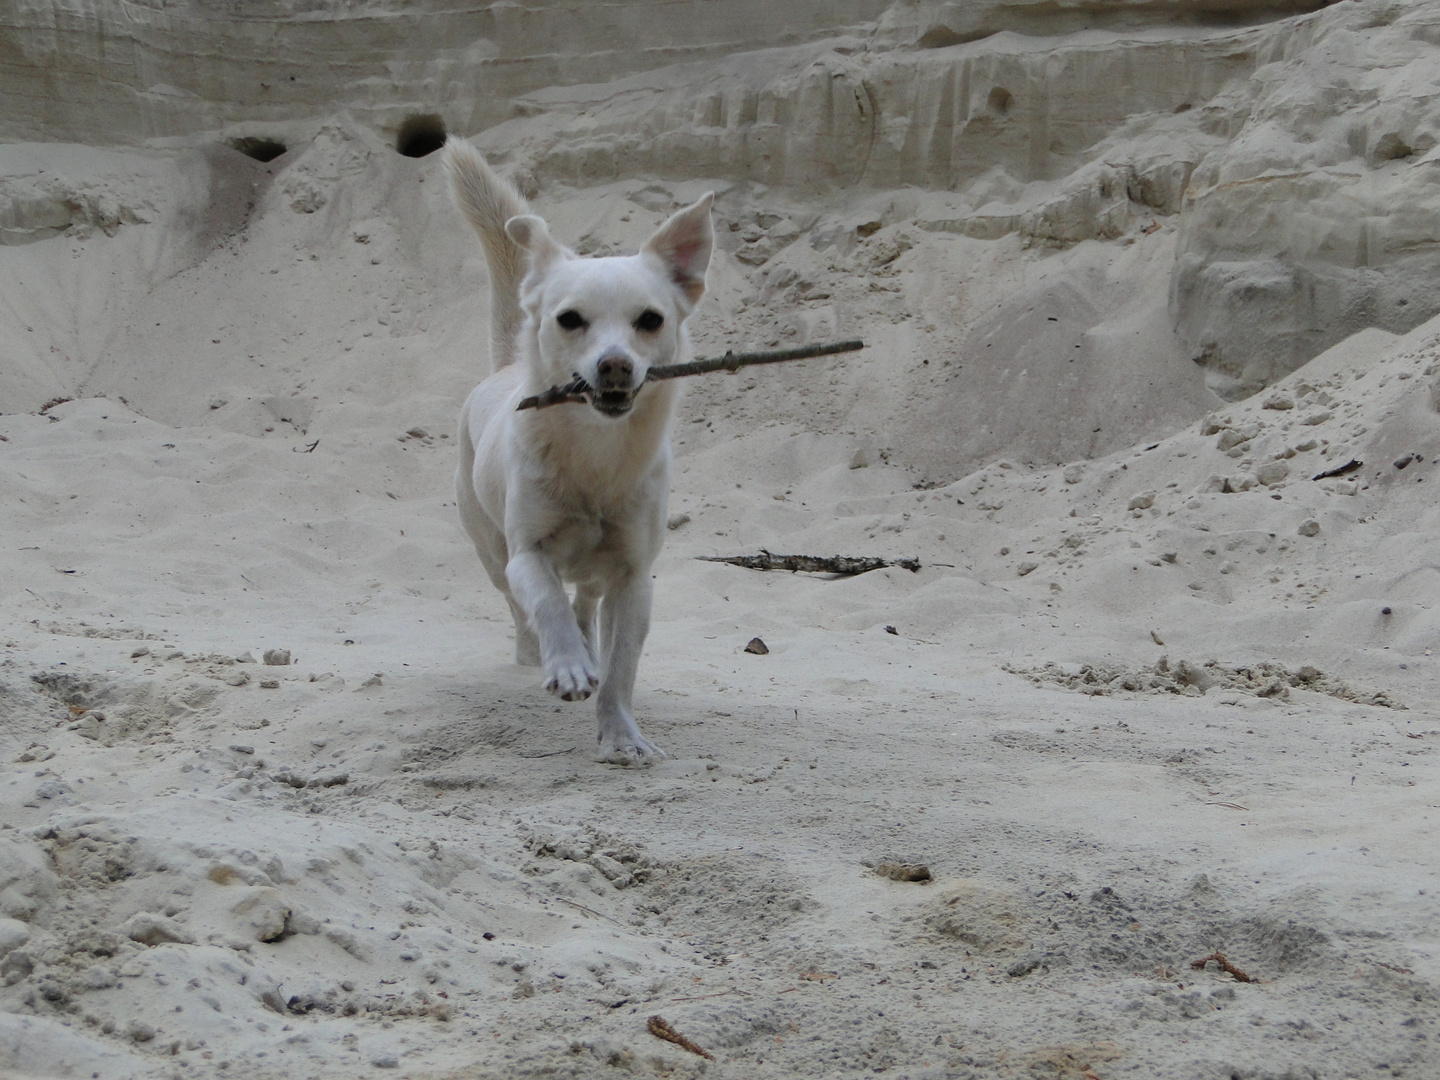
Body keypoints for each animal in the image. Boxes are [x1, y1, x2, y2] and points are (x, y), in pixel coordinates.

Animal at [437, 141, 708, 771]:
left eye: (650, 320)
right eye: (569, 320)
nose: (615, 365)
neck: (596, 453)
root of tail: (507, 366)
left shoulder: (634, 578)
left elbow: (620, 667)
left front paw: (621, 735)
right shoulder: (527, 554)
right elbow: (545, 600)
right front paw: (565, 666)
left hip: (597, 573)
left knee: (585, 600)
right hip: (490, 550)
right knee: (524, 606)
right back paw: (540, 652)